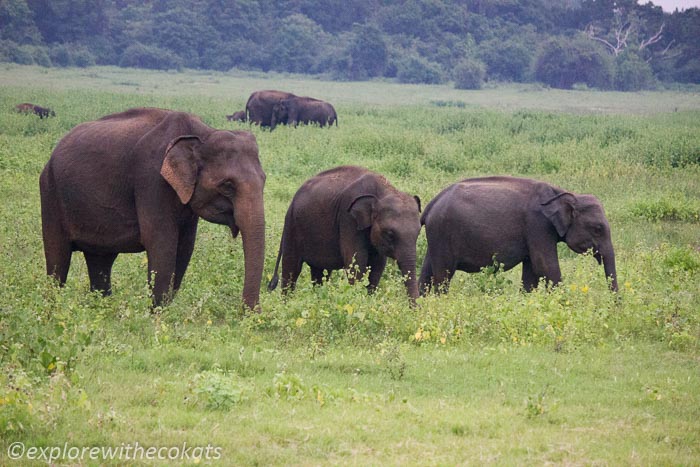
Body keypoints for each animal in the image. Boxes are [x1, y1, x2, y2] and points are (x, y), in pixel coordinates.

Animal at [39, 107, 266, 310]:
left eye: (264, 180)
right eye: (227, 185)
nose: (248, 312)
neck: (203, 133)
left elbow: (184, 248)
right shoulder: (152, 181)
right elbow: (162, 244)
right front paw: (156, 316)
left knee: (100, 263)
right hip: (50, 193)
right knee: (57, 262)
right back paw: (51, 311)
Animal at [268, 166, 422, 306]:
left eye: (418, 232)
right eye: (390, 234)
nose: (416, 309)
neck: (383, 191)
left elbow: (377, 267)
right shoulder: (348, 219)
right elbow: (357, 262)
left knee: (319, 272)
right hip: (292, 226)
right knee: (291, 269)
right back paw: (286, 305)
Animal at [418, 177, 616, 294]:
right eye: (598, 229)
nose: (616, 305)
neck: (563, 194)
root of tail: (430, 206)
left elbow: (531, 273)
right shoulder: (538, 225)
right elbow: (545, 267)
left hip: (436, 236)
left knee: (427, 272)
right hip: (442, 233)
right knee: (443, 276)